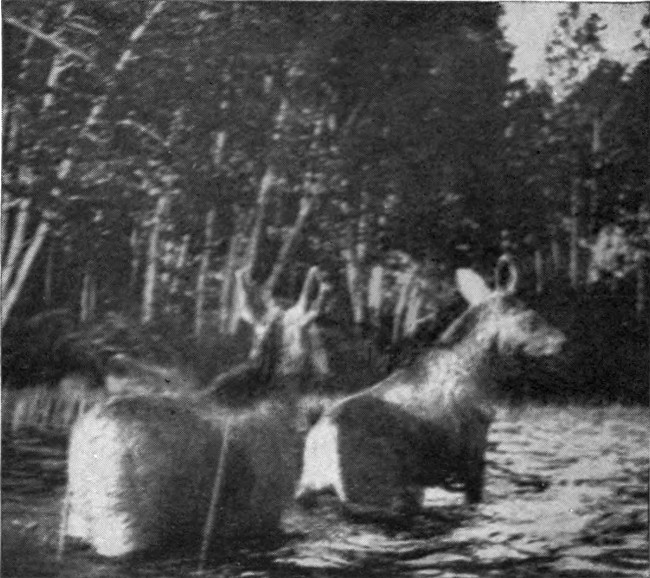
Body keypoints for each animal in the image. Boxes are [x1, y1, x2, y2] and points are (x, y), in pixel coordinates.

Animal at [61, 266, 330, 560]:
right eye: (316, 333)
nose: (327, 366)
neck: (282, 397)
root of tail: (87, 443)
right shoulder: (264, 515)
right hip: (124, 526)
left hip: (76, 518)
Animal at [296, 256, 564, 516]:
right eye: (531, 317)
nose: (562, 340)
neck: (484, 373)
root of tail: (323, 459)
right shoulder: (472, 448)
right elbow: (474, 496)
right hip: (383, 491)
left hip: (308, 488)